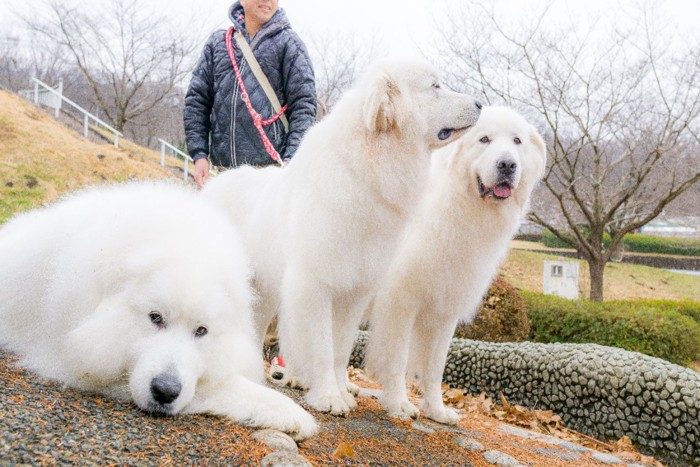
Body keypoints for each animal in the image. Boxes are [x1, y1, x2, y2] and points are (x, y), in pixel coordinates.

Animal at [0, 181, 318, 440]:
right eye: (155, 318)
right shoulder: (77, 362)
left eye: (201, 331)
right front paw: (290, 411)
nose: (165, 391)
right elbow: (219, 387)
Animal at [202, 59, 482, 416]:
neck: (367, 172)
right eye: (435, 86)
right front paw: (327, 396)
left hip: (265, 292)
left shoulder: (355, 292)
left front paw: (341, 392)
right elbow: (322, 347)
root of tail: (214, 181)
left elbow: (340, 350)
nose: (480, 104)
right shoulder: (315, 284)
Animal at [366, 108, 548, 426]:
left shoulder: (443, 310)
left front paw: (437, 410)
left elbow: (435, 367)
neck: (460, 207)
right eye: (484, 139)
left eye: (517, 141)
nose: (507, 164)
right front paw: (399, 404)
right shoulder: (399, 302)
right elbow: (397, 358)